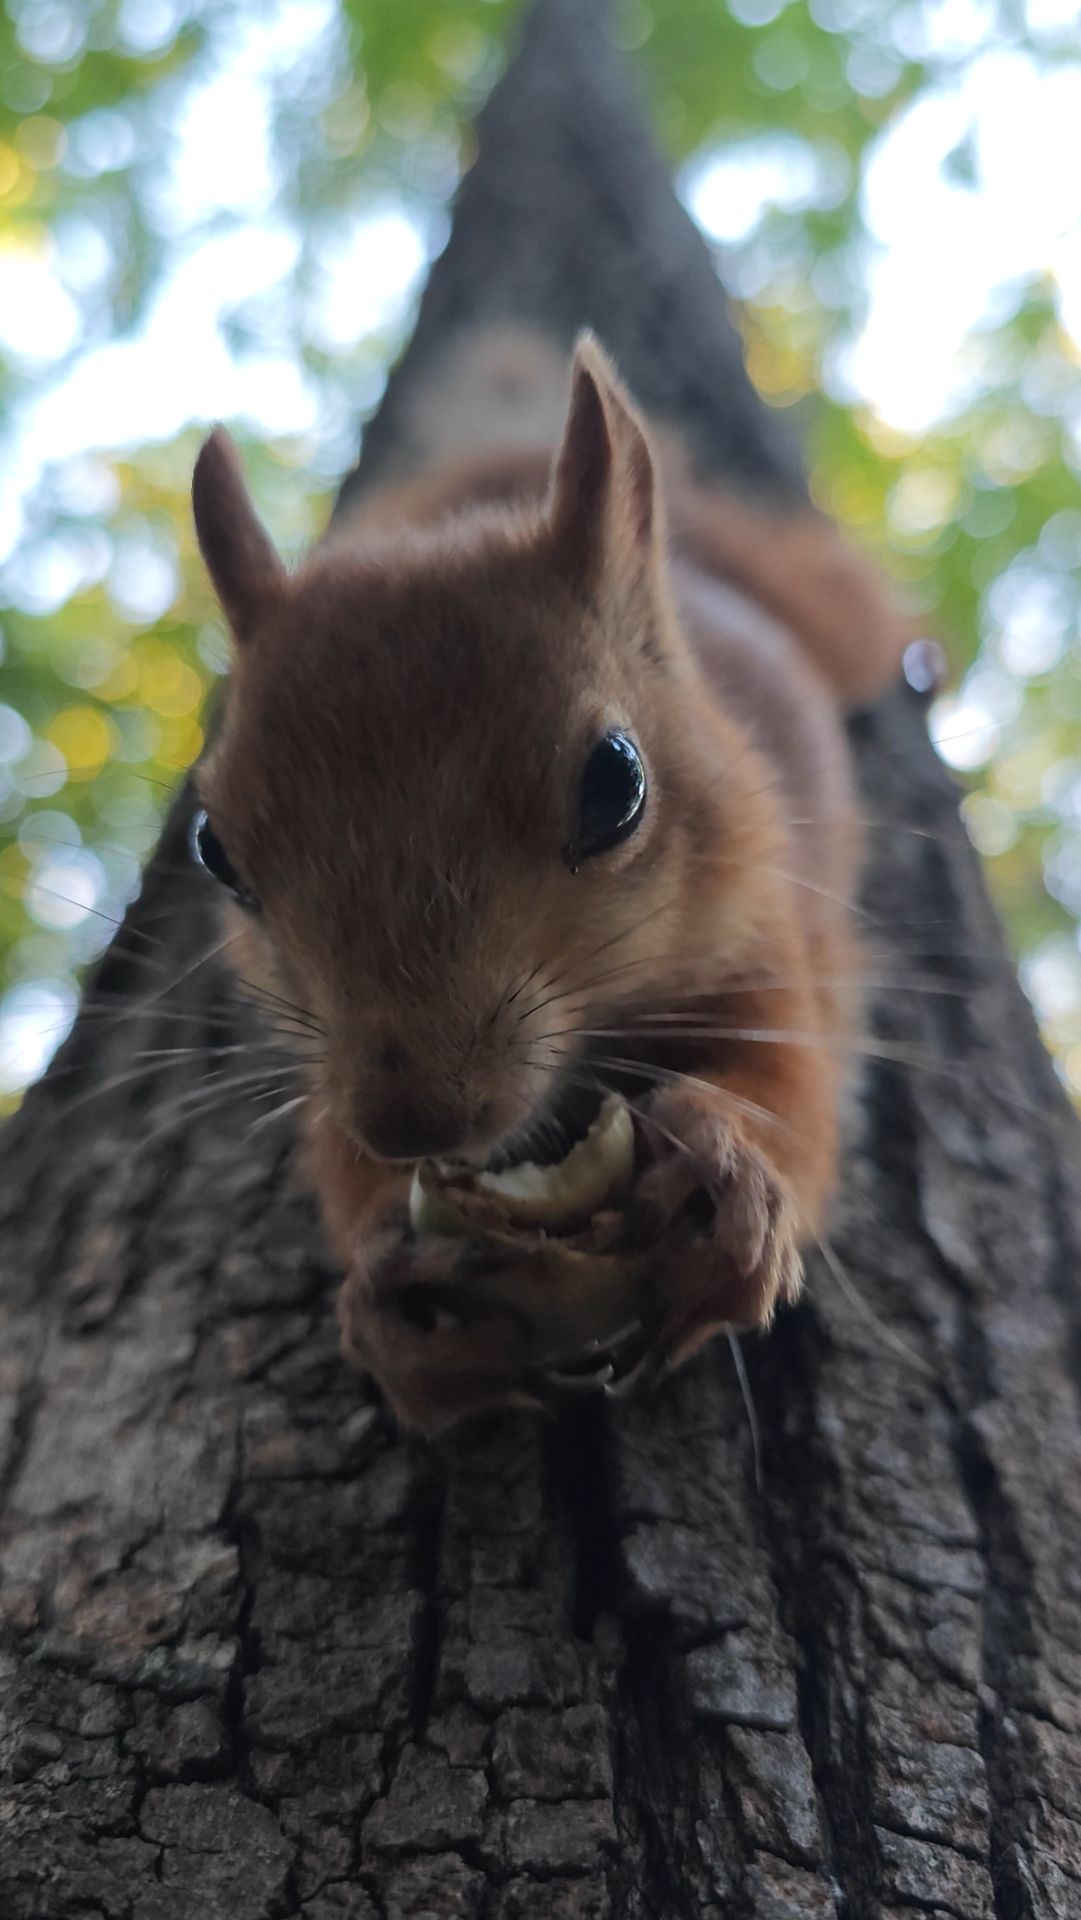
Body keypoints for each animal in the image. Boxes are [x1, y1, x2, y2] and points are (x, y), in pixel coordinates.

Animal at [190, 327, 912, 1432]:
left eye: (615, 785)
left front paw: (733, 1180)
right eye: (212, 850)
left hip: (827, 615)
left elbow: (799, 1099)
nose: (412, 1120)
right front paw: (385, 1293)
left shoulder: (767, 939)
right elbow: (344, 1172)